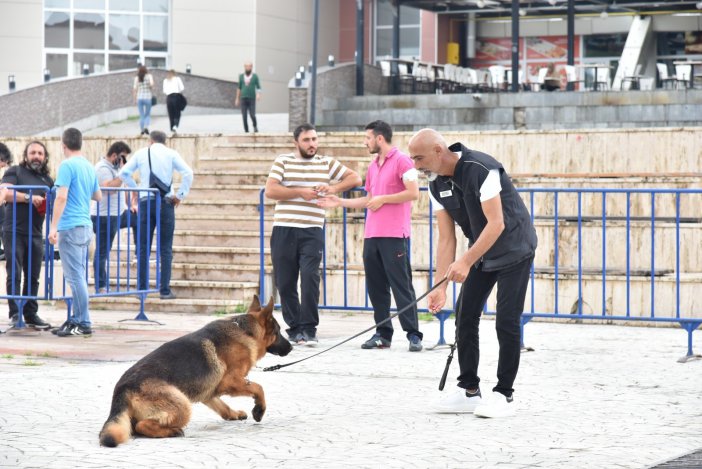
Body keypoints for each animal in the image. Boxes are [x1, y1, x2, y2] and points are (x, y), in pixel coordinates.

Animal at [99, 296, 292, 446]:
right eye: (278, 332)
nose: (291, 347)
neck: (246, 332)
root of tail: (122, 390)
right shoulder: (230, 381)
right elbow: (258, 387)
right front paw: (259, 409)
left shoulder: (209, 392)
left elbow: (223, 407)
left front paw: (234, 414)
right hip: (182, 404)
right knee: (141, 426)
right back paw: (171, 431)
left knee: (135, 427)